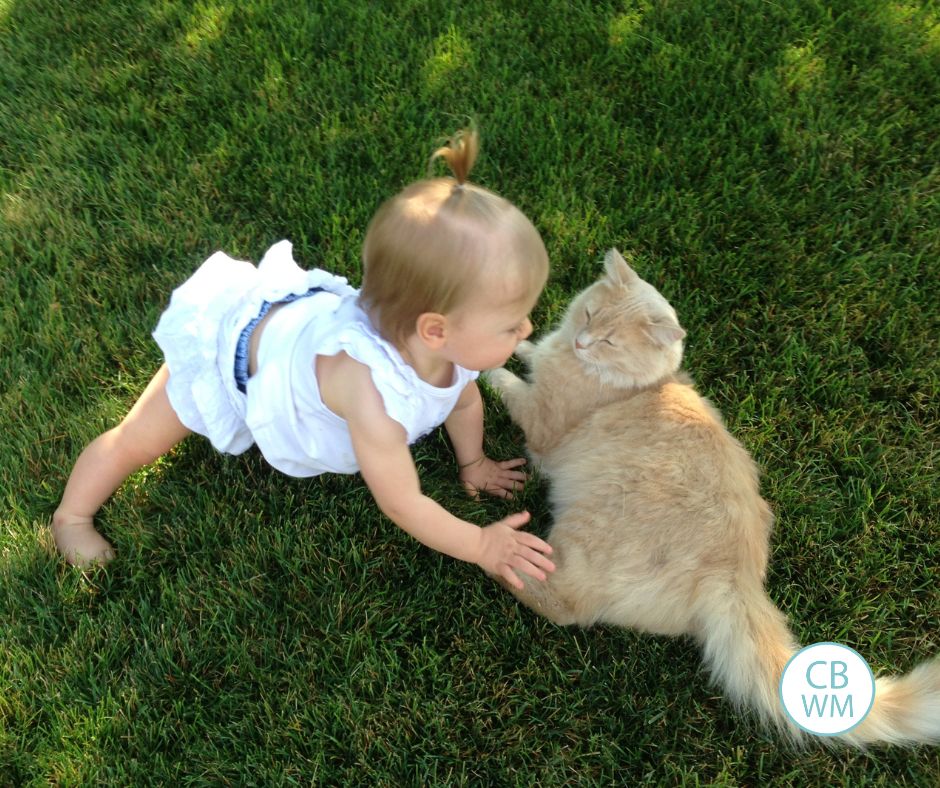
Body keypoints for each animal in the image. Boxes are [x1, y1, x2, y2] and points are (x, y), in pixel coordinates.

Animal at [488, 249, 940, 748]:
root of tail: (737, 576)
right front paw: (522, 345)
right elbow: (531, 353)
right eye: (589, 315)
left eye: (608, 342)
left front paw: (483, 368)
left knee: (561, 604)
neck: (645, 385)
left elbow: (507, 383)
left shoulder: (539, 422)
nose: (583, 342)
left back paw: (494, 553)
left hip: (582, 538)